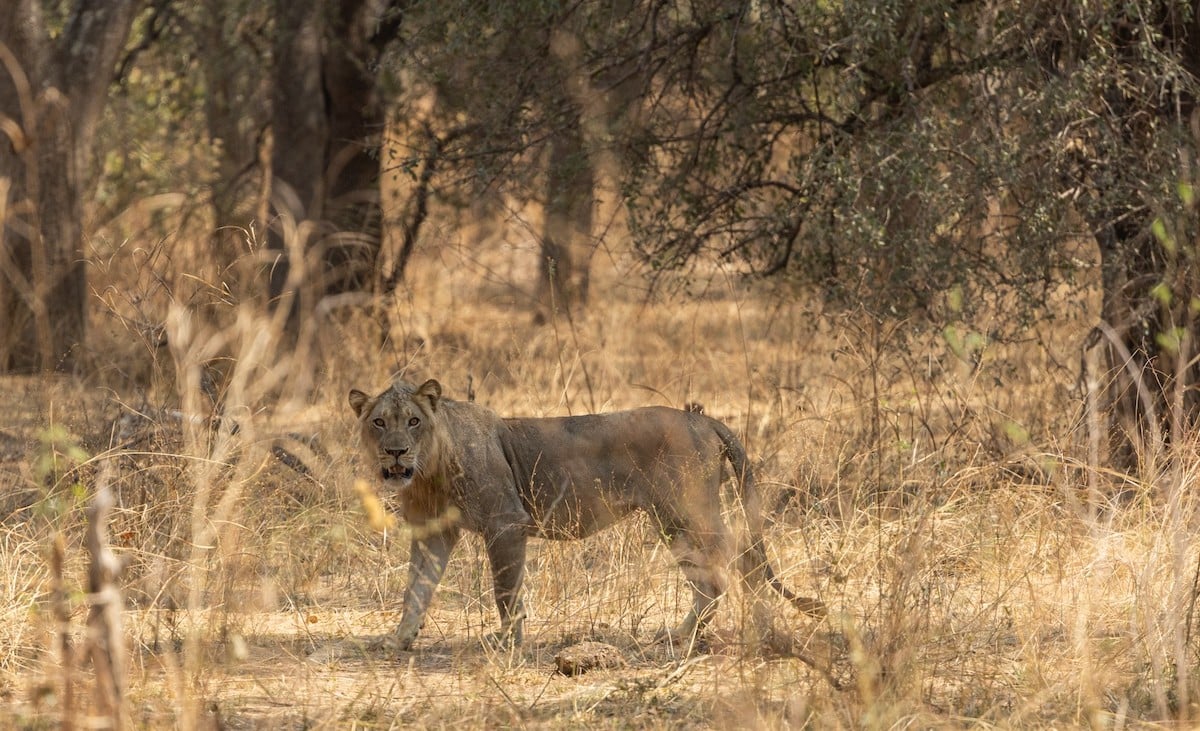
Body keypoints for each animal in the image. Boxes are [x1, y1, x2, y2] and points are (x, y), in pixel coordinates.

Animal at [348, 377, 824, 651]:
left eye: (413, 421)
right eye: (379, 422)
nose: (395, 452)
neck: (429, 472)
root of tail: (703, 421)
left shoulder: (506, 523)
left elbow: (505, 590)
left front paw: (506, 642)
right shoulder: (433, 533)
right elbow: (416, 588)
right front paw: (400, 639)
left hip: (690, 509)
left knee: (744, 555)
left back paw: (759, 630)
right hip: (671, 521)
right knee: (709, 579)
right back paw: (681, 635)